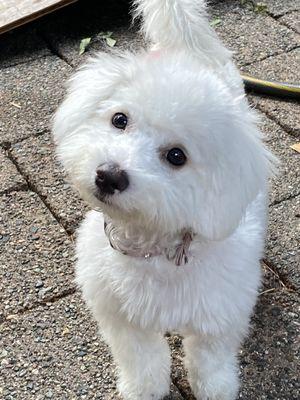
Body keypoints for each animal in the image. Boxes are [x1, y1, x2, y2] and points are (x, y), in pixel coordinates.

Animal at [52, 0, 276, 400]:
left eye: (176, 156)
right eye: (120, 119)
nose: (109, 175)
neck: (152, 245)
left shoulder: (218, 316)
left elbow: (211, 362)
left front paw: (217, 389)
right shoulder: (122, 319)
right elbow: (142, 362)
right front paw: (143, 390)